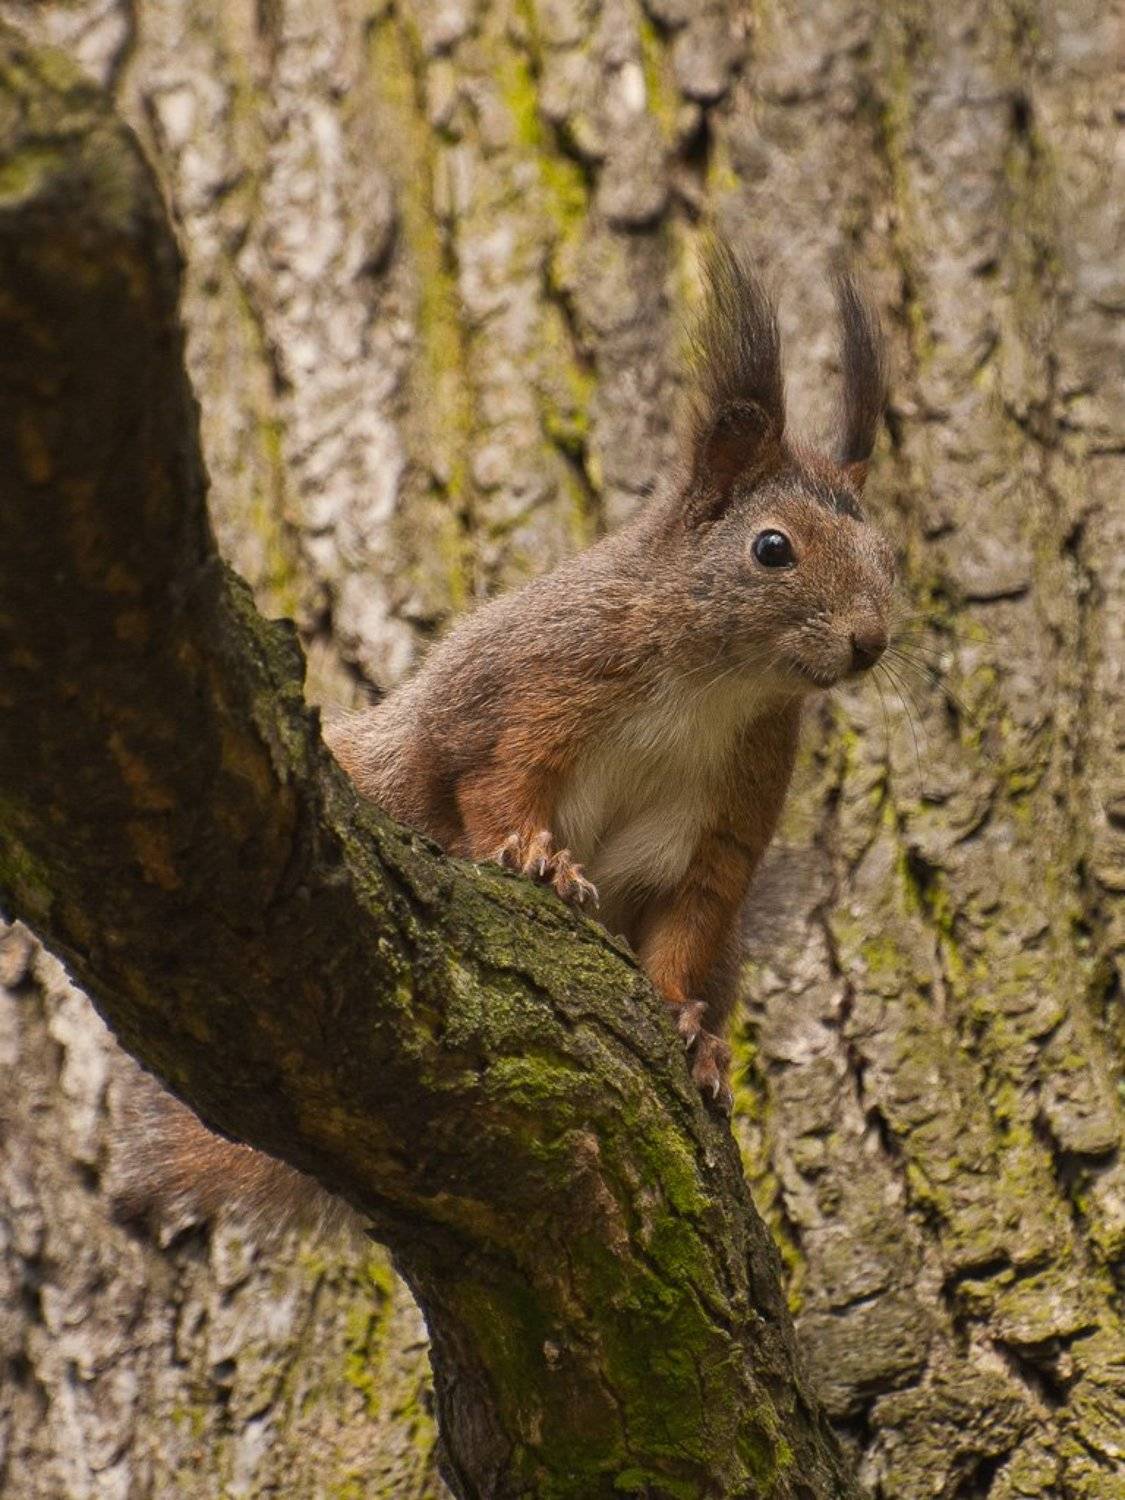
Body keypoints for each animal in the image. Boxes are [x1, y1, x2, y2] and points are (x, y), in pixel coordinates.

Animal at [119, 242, 894, 1235]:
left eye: (886, 558)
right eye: (771, 548)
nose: (869, 641)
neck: (714, 688)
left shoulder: (729, 809)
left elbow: (688, 920)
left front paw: (688, 1029)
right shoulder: (528, 688)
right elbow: (493, 782)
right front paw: (537, 859)